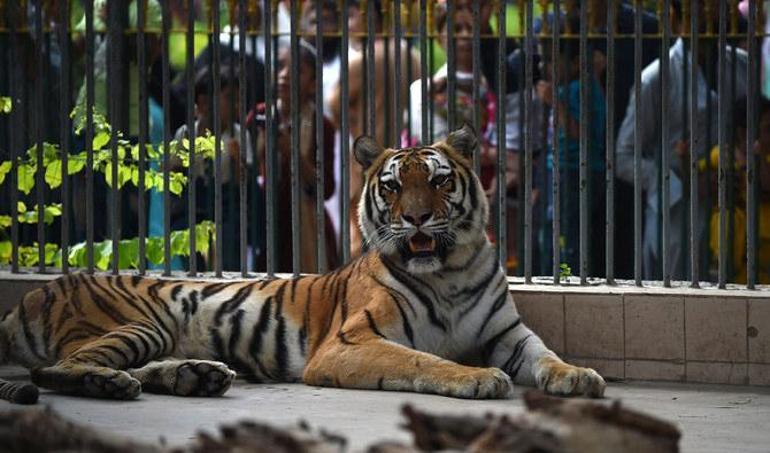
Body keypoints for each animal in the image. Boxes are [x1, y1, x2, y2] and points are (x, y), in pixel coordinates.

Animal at [0, 123, 604, 402]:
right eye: (392, 186)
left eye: (437, 181)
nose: (415, 219)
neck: (449, 273)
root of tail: (33, 293)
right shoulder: (350, 342)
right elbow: (422, 361)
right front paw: (478, 378)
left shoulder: (508, 334)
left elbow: (545, 355)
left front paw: (579, 376)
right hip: (135, 323)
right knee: (54, 369)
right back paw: (113, 385)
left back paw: (197, 375)